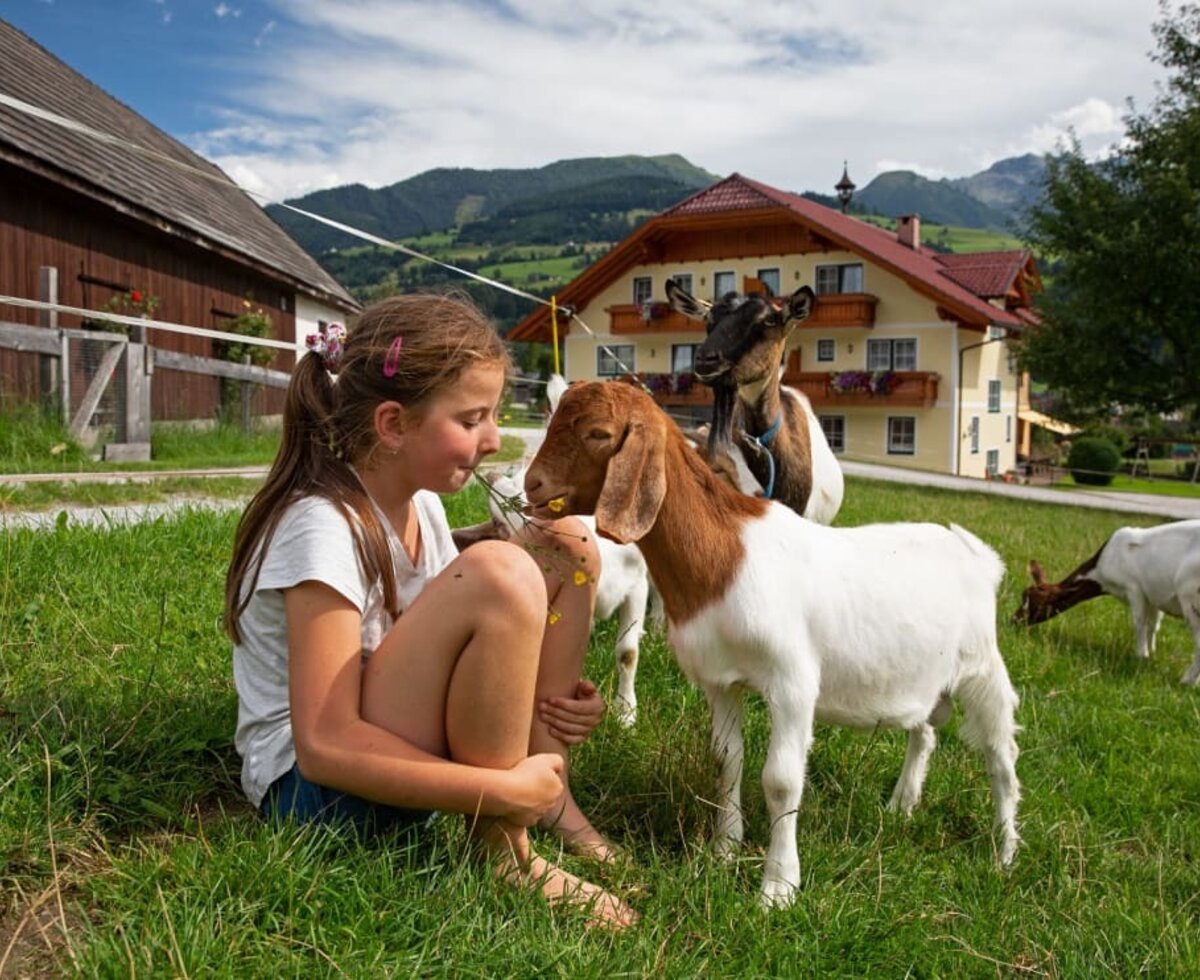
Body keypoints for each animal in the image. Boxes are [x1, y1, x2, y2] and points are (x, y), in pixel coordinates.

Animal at [525, 379, 1022, 906]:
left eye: (598, 433)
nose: (532, 485)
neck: (725, 553)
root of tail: (977, 555)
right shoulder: (721, 681)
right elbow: (726, 760)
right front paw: (723, 852)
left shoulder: (792, 682)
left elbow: (781, 781)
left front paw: (778, 888)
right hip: (924, 677)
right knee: (924, 733)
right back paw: (900, 808)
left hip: (982, 668)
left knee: (1000, 757)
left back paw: (1004, 853)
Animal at [1012, 515, 1200, 686]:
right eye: (1023, 596)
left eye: (1038, 605)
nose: (1014, 620)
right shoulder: (1153, 595)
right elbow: (1153, 626)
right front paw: (1151, 652)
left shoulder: (1134, 588)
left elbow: (1139, 623)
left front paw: (1141, 656)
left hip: (1190, 597)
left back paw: (1186, 681)